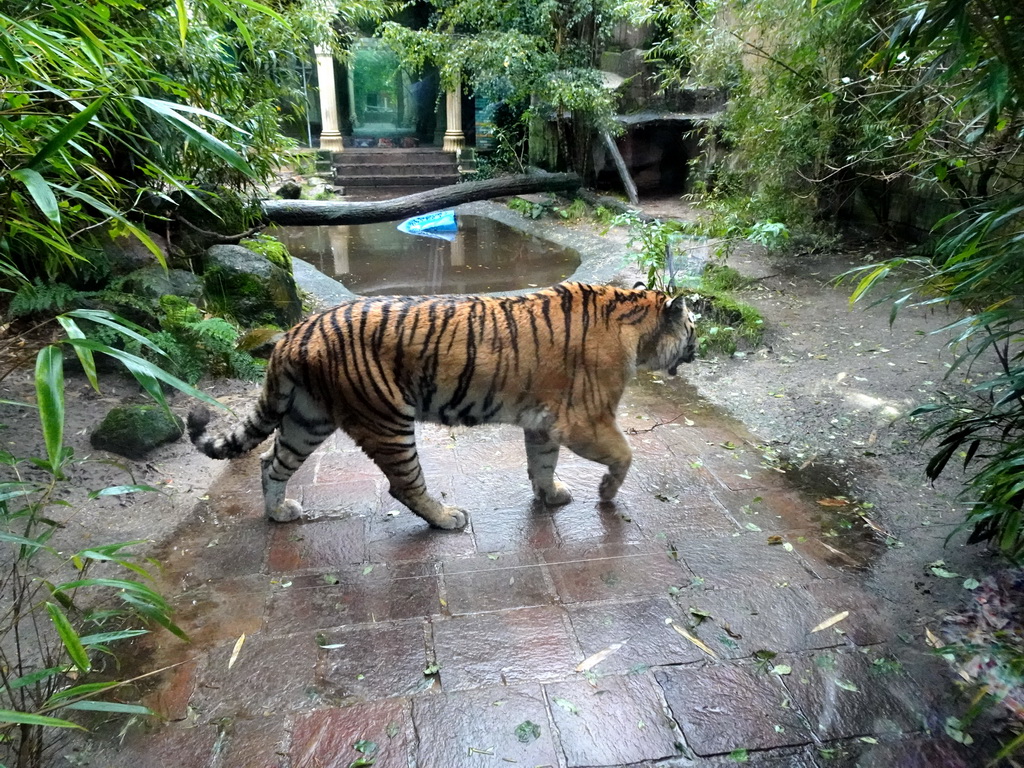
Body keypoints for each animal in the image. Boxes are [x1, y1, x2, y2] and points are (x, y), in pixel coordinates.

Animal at [186, 282, 696, 528]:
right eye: (692, 328)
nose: (696, 350)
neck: (638, 322)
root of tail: (295, 332)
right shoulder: (585, 420)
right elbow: (624, 454)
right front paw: (606, 493)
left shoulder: (544, 422)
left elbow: (542, 463)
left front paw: (550, 495)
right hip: (387, 420)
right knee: (403, 486)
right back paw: (448, 519)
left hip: (307, 418)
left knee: (271, 462)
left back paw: (279, 513)